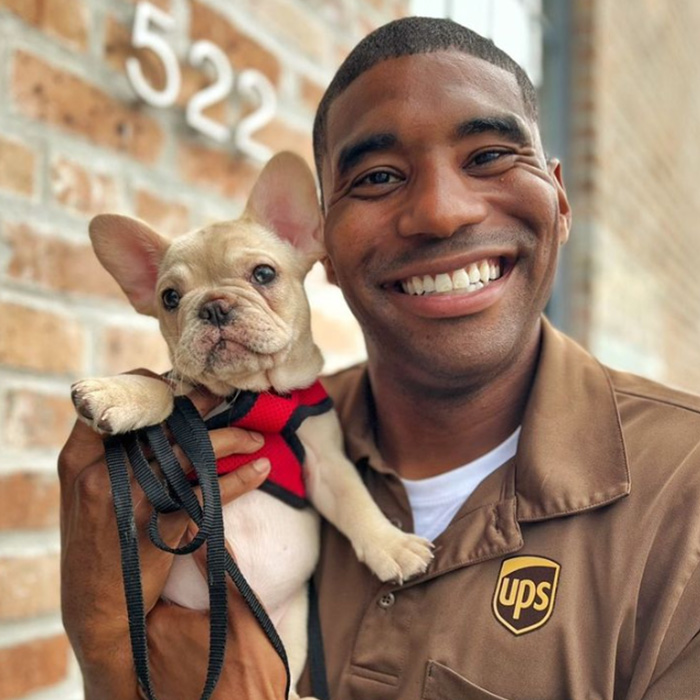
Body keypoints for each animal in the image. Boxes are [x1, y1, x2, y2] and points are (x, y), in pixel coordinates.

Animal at [72, 150, 432, 696]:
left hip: (291, 631)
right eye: (170, 297)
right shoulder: (190, 400)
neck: (250, 395)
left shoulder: (324, 461)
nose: (214, 305)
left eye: (263, 273)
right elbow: (168, 389)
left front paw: (392, 545)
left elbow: (355, 501)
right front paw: (118, 392)